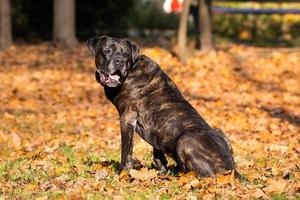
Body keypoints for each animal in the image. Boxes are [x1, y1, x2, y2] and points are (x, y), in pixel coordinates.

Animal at [88, 35, 236, 177]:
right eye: (107, 51)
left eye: (126, 54)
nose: (119, 60)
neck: (132, 70)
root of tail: (230, 169)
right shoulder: (155, 130)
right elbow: (158, 152)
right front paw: (161, 174)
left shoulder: (127, 118)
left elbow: (126, 150)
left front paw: (122, 173)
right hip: (220, 132)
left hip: (185, 138)